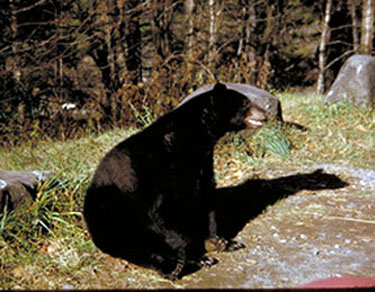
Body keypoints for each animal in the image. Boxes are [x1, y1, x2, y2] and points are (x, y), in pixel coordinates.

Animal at [84, 83, 268, 280]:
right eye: (245, 103)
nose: (265, 113)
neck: (194, 138)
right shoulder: (161, 171)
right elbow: (164, 212)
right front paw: (198, 255)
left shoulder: (202, 164)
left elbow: (205, 198)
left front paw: (221, 241)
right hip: (112, 212)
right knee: (133, 244)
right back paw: (173, 266)